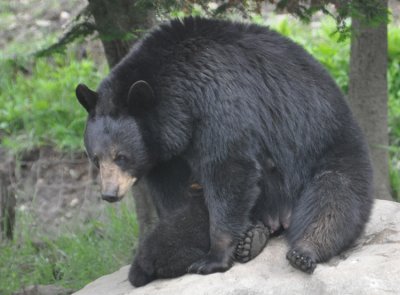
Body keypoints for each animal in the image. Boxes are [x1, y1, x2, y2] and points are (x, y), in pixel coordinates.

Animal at [76, 17, 374, 286]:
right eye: (95, 159)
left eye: (121, 156)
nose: (109, 194)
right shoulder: (164, 156)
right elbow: (176, 198)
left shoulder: (218, 99)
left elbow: (229, 167)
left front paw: (213, 259)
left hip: (330, 148)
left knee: (334, 200)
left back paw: (303, 250)